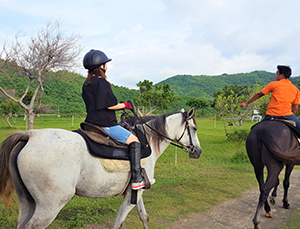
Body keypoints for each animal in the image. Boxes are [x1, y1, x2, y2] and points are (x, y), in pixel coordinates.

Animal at [0, 108, 203, 228]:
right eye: (194, 129)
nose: (198, 151)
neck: (147, 143)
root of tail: (30, 135)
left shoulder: (136, 192)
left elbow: (144, 217)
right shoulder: (131, 197)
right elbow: (118, 223)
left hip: (27, 202)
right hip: (49, 207)